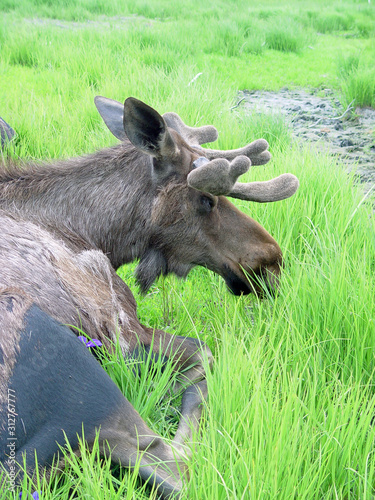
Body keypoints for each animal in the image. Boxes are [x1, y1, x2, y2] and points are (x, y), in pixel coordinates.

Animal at [0, 96, 300, 496]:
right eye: (206, 200)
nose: (271, 260)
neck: (92, 232)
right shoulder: (119, 324)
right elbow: (203, 353)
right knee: (177, 465)